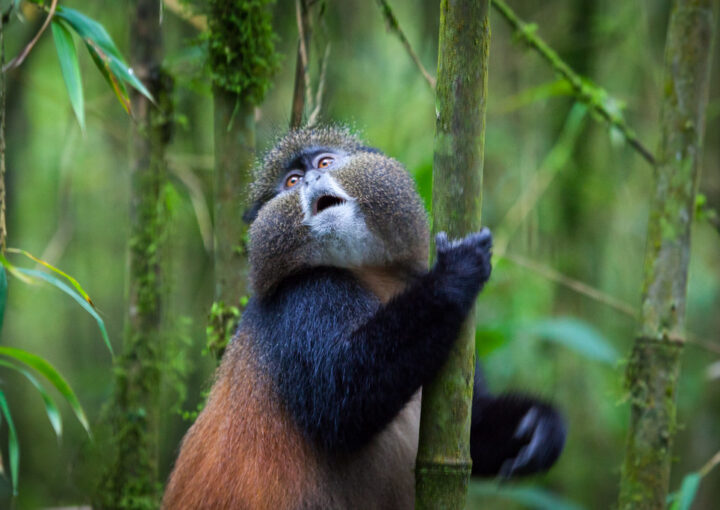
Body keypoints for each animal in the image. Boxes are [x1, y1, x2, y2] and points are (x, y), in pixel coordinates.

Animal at [163, 126, 566, 509]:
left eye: (324, 163)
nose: (311, 180)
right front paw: (454, 274)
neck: (369, 273)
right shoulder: (304, 296)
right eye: (291, 181)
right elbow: (341, 401)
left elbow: (471, 437)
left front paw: (538, 427)